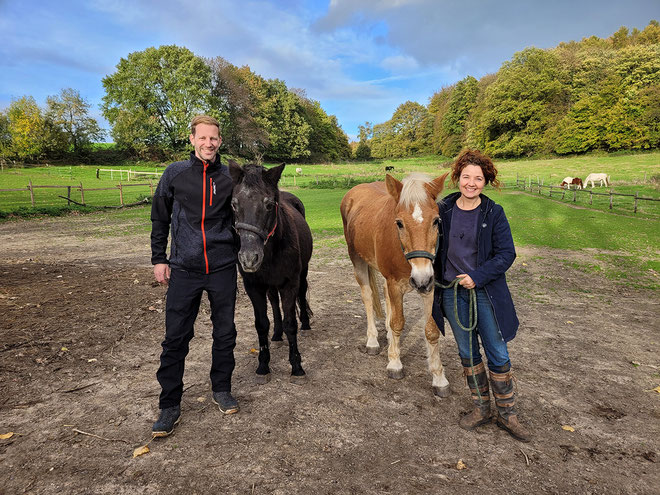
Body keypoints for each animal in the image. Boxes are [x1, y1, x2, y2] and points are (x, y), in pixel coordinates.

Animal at [228, 162, 314, 384]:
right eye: (234, 204)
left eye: (268, 204)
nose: (249, 258)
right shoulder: (254, 286)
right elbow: (261, 324)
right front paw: (263, 365)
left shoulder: (290, 283)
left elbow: (290, 323)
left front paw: (296, 366)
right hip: (271, 285)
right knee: (274, 303)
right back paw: (276, 334)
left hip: (302, 274)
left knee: (302, 295)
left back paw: (306, 325)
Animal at [342, 172, 452, 398]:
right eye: (399, 223)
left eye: (436, 221)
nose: (420, 279)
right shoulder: (396, 284)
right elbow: (398, 323)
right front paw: (394, 363)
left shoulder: (429, 288)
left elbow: (431, 330)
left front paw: (439, 378)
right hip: (357, 259)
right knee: (368, 296)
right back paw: (373, 341)